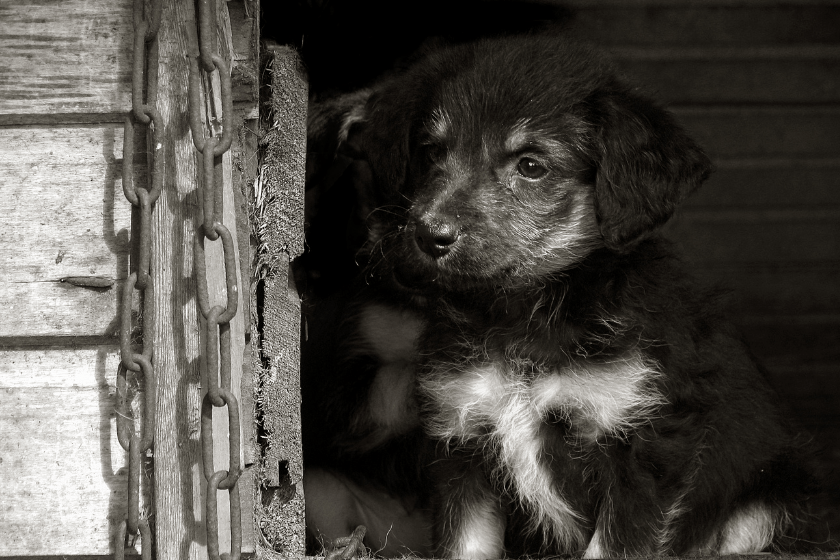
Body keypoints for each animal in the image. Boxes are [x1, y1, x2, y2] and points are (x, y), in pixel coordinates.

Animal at [306, 34, 812, 556]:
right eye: (430, 152)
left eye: (531, 166)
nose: (429, 236)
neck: (525, 311)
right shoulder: (464, 440)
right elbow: (464, 543)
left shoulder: (645, 449)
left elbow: (611, 546)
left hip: (771, 498)